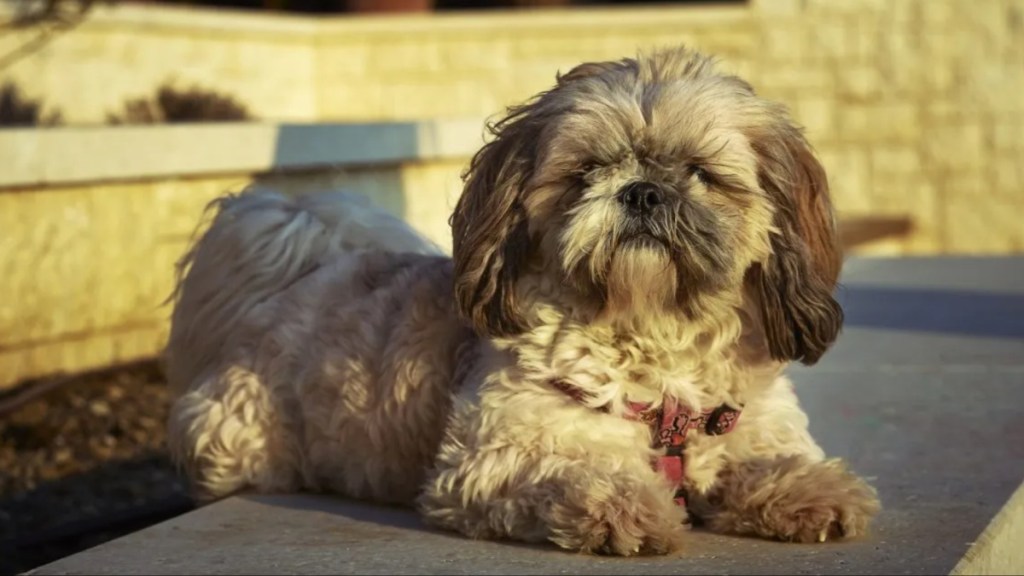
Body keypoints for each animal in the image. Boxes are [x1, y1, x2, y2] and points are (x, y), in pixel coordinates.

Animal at [163, 42, 876, 553]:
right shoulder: (492, 458)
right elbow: (572, 474)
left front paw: (809, 490)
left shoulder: (747, 422)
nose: (643, 191)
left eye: (701, 173)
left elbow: (765, 459)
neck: (653, 341)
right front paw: (623, 505)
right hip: (239, 436)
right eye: (586, 171)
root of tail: (303, 270)